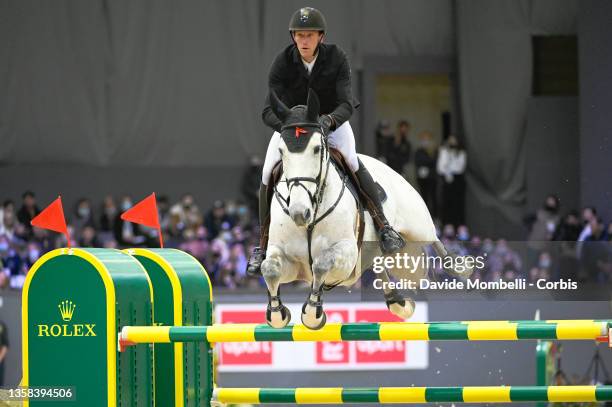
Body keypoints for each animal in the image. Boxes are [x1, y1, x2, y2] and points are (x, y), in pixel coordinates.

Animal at [260, 91, 466, 330]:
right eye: (281, 152)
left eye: (317, 149)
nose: (299, 213)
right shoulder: (288, 258)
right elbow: (269, 268)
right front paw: (277, 314)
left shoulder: (347, 253)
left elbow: (321, 265)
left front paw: (312, 314)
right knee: (379, 262)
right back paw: (398, 302)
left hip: (417, 226)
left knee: (434, 238)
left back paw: (459, 267)